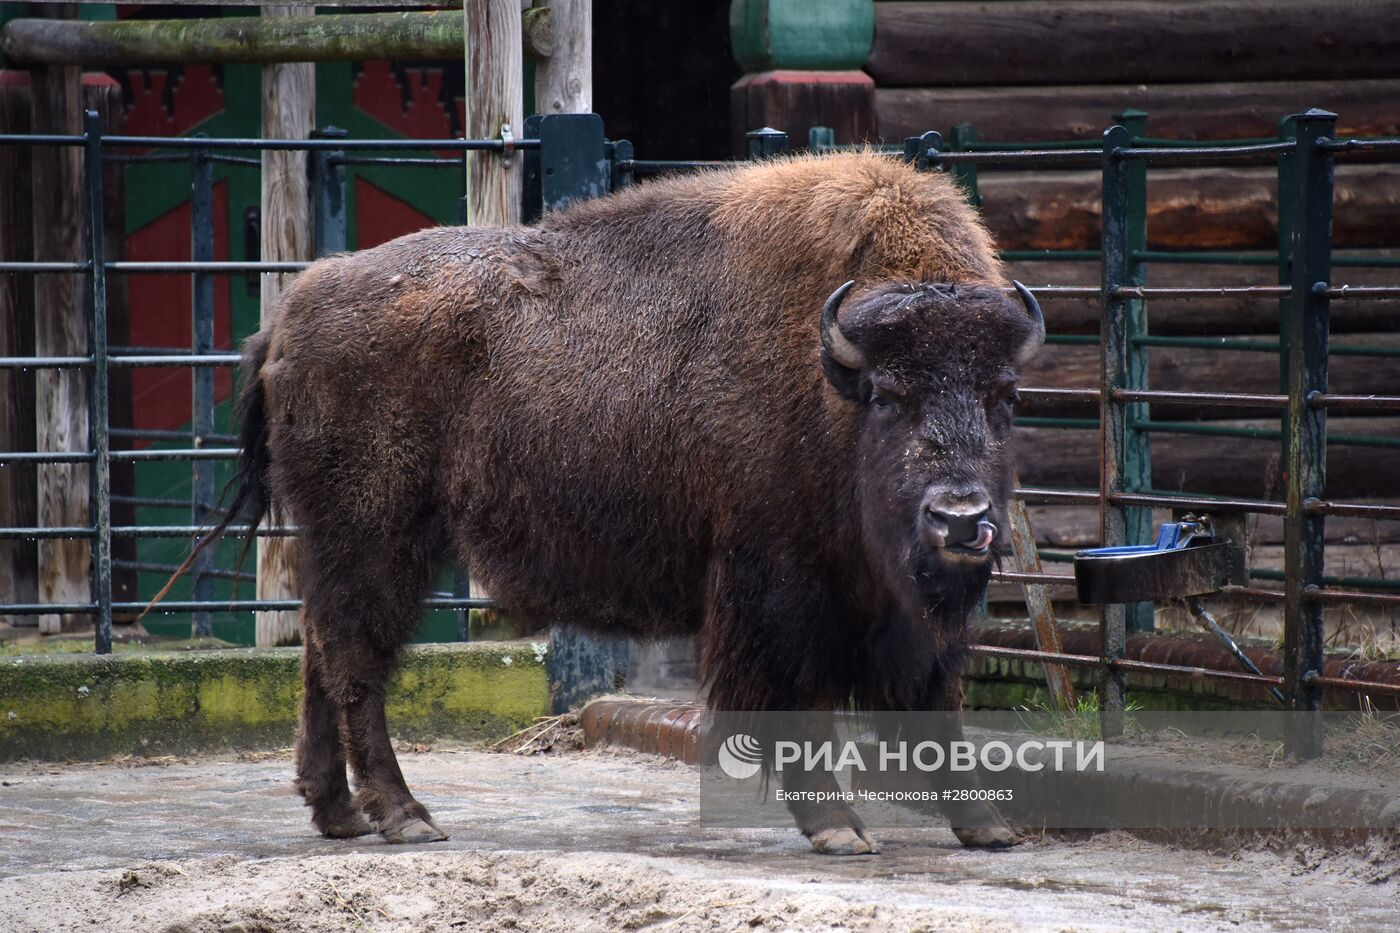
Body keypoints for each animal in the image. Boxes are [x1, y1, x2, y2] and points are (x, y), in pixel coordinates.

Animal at [189, 149, 1041, 851]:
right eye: (890, 397)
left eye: (1004, 395)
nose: (961, 521)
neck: (832, 374)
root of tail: (291, 314)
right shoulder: (779, 587)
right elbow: (803, 704)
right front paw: (838, 827)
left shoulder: (903, 606)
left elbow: (938, 698)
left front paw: (987, 826)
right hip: (377, 535)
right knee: (356, 657)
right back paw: (404, 815)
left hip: (343, 541)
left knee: (320, 648)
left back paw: (337, 811)